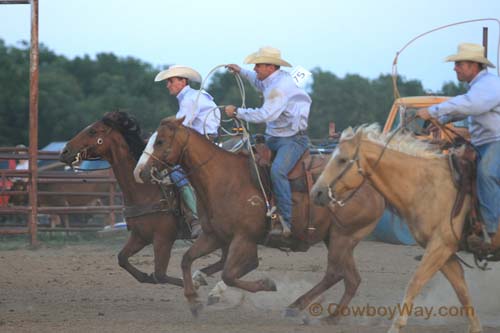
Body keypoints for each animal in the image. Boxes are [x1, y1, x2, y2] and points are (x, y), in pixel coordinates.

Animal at [57, 111, 224, 286]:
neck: (145, 189)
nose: (65, 151)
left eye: (93, 131)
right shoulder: (140, 237)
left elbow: (160, 274)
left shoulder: (163, 239)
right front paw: (145, 276)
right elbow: (122, 258)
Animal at [135, 115, 384, 318]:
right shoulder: (214, 235)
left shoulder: (244, 239)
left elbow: (230, 274)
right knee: (348, 278)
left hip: (343, 237)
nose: (140, 172)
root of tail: (371, 186)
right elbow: (187, 260)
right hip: (336, 238)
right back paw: (313, 311)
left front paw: (267, 284)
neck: (222, 178)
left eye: (160, 141)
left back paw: (304, 309)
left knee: (336, 274)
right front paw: (194, 301)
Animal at [310, 124, 482, 332]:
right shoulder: (445, 251)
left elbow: (415, 282)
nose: (316, 192)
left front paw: (396, 326)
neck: (429, 187)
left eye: (342, 159)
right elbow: (461, 290)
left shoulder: (440, 246)